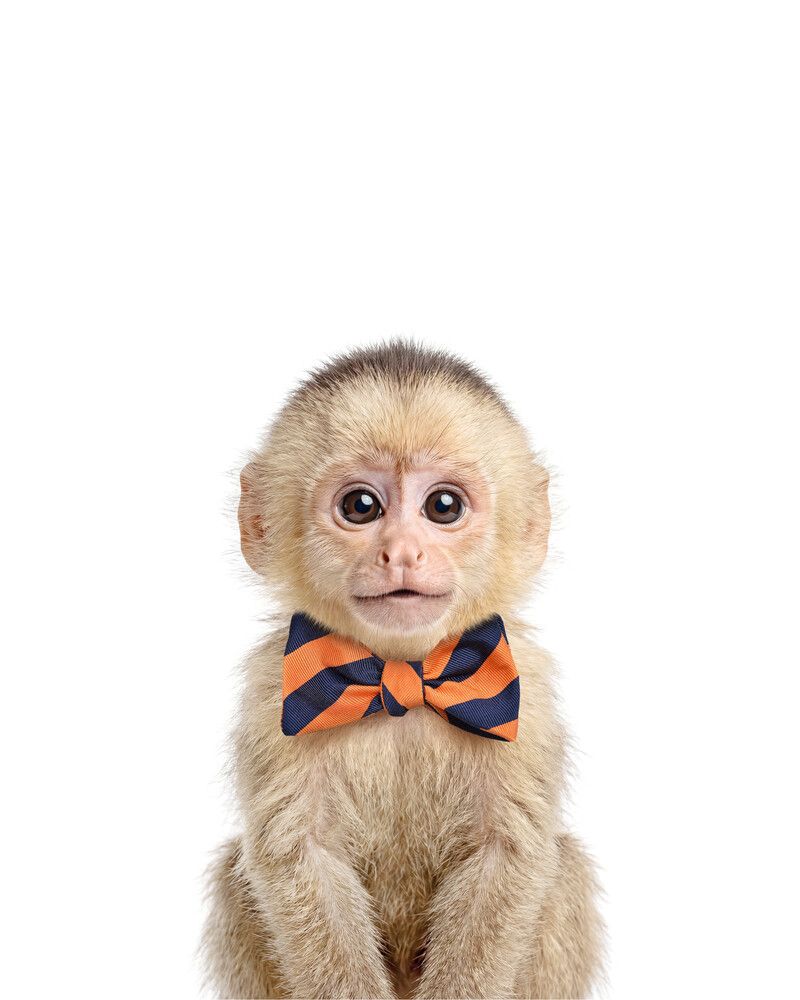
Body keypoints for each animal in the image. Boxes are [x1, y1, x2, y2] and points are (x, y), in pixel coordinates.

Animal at [202, 341, 604, 999]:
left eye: (444, 506)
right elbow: (300, 857)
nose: (402, 554)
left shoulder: (529, 694)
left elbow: (507, 856)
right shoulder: (271, 694)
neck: (401, 674)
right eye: (360, 506)